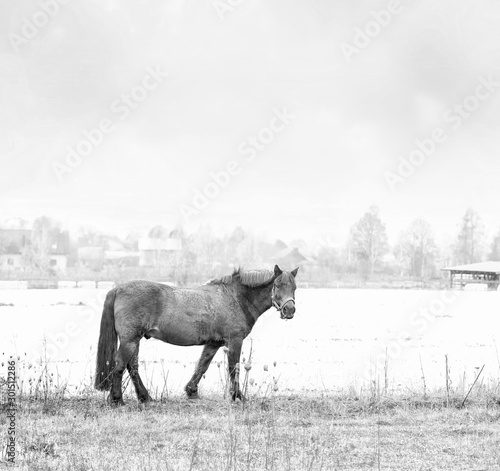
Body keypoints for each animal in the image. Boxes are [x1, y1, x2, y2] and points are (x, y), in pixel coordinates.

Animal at [94, 266, 296, 406]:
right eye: (277, 285)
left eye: (294, 286)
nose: (290, 310)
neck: (236, 297)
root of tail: (117, 289)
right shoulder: (234, 341)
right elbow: (234, 368)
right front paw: (238, 396)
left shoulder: (214, 343)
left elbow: (202, 366)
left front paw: (191, 391)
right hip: (130, 340)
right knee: (120, 365)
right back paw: (117, 399)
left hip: (134, 340)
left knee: (132, 367)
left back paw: (145, 397)